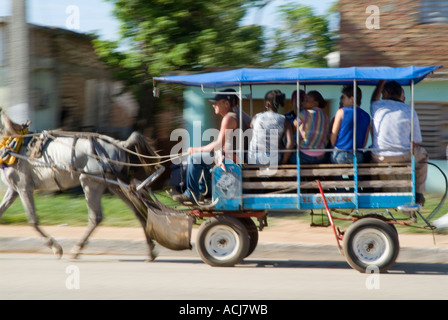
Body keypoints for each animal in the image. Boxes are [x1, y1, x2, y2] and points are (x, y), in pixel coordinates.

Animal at [0, 112, 164, 260]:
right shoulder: (13, 189)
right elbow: (2, 211)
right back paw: (150, 251)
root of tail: (120, 144)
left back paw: (77, 249)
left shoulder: (23, 187)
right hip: (114, 184)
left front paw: (55, 247)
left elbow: (32, 219)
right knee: (136, 210)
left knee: (96, 217)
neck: (13, 145)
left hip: (90, 182)